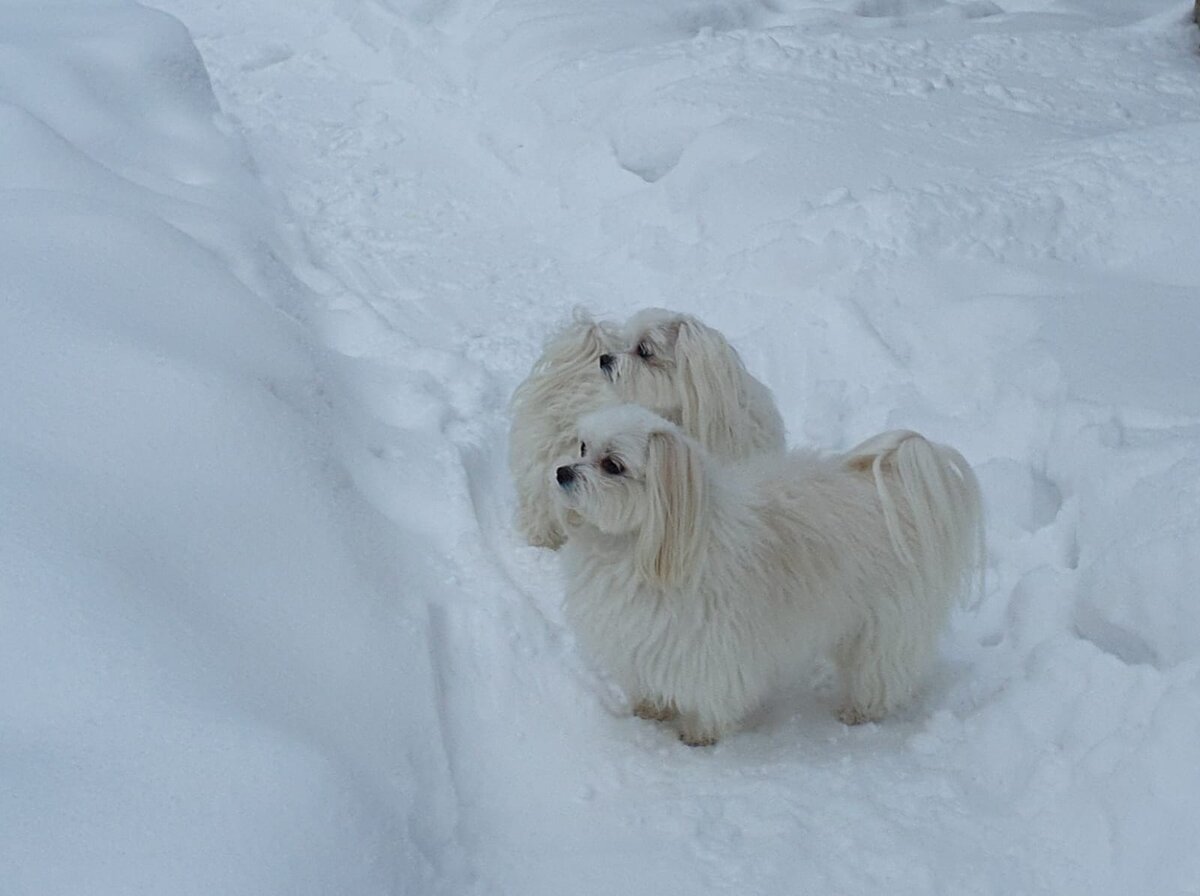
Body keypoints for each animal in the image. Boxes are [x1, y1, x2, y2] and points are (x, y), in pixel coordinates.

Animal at [552, 405, 984, 748]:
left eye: (613, 465)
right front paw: (650, 708)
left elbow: (710, 693)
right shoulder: (643, 636)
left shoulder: (709, 645)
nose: (561, 472)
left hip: (886, 623)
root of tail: (894, 484)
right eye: (582, 447)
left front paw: (700, 732)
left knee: (882, 670)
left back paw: (862, 710)